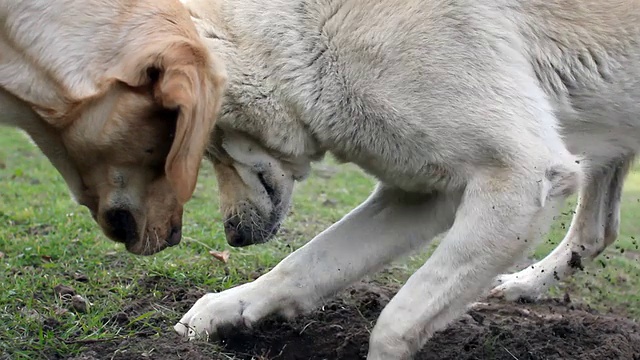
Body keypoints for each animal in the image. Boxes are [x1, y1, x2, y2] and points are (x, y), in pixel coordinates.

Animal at [176, 1, 640, 358]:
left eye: (211, 147)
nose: (233, 236)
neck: (306, 38)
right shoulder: (422, 195)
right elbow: (303, 265)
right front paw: (227, 308)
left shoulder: (521, 178)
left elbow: (395, 320)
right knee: (597, 233)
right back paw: (523, 285)